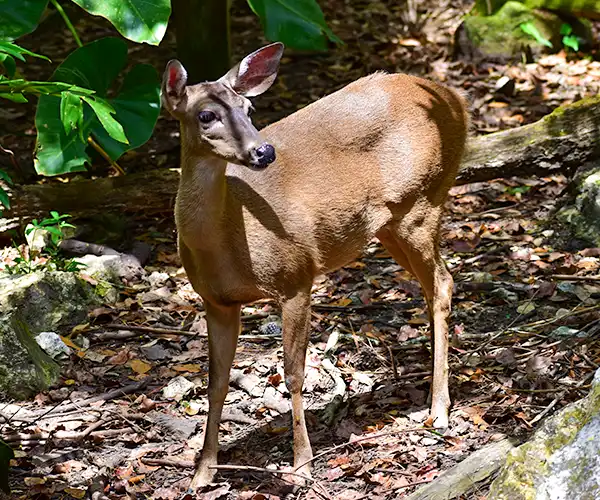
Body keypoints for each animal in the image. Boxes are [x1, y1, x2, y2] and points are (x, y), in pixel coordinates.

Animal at [161, 42, 469, 489]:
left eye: (249, 109)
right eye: (206, 115)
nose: (263, 151)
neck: (229, 239)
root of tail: (454, 98)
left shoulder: (296, 275)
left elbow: (293, 373)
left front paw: (301, 465)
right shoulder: (216, 300)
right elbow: (216, 382)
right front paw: (203, 471)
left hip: (422, 202)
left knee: (443, 282)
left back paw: (439, 410)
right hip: (391, 223)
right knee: (435, 286)